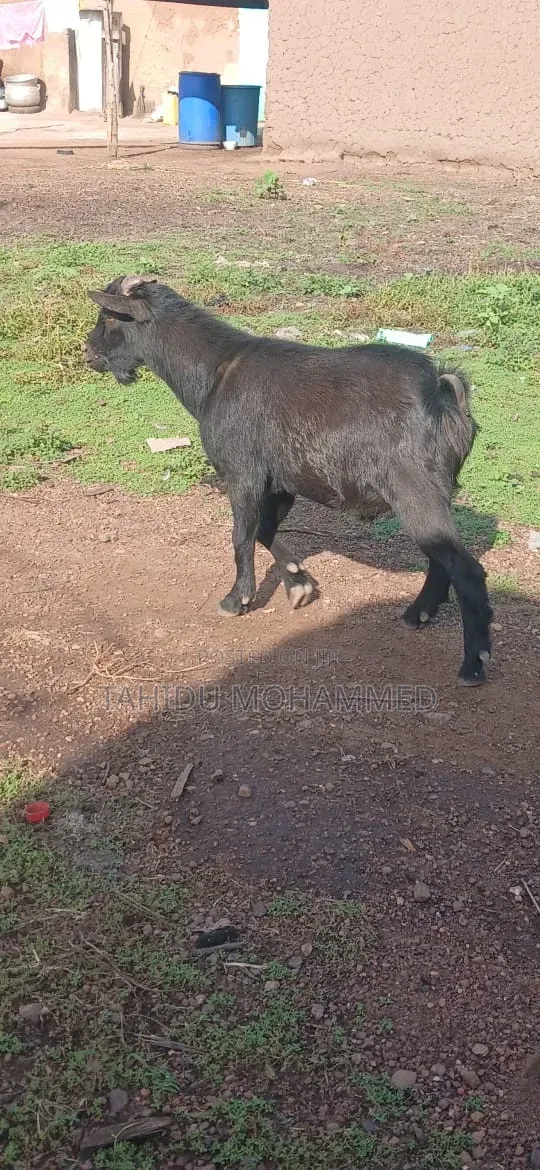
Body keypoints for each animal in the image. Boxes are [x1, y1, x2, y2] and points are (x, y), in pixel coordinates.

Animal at [85, 275, 493, 685]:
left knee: (466, 570)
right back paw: (418, 613)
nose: (89, 352)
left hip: (415, 491)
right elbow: (264, 530)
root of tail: (442, 391)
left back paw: (473, 662)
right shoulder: (279, 484)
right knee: (441, 558)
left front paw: (237, 599)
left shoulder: (243, 473)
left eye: (110, 317)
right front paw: (299, 584)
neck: (216, 369)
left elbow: (241, 536)